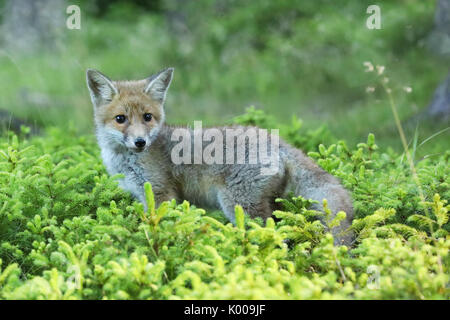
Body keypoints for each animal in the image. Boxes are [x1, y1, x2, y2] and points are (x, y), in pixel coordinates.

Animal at [86, 67, 356, 245]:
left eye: (147, 117)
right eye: (120, 119)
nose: (140, 142)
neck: (125, 162)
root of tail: (276, 139)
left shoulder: (161, 192)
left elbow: (163, 223)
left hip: (239, 204)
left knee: (272, 233)